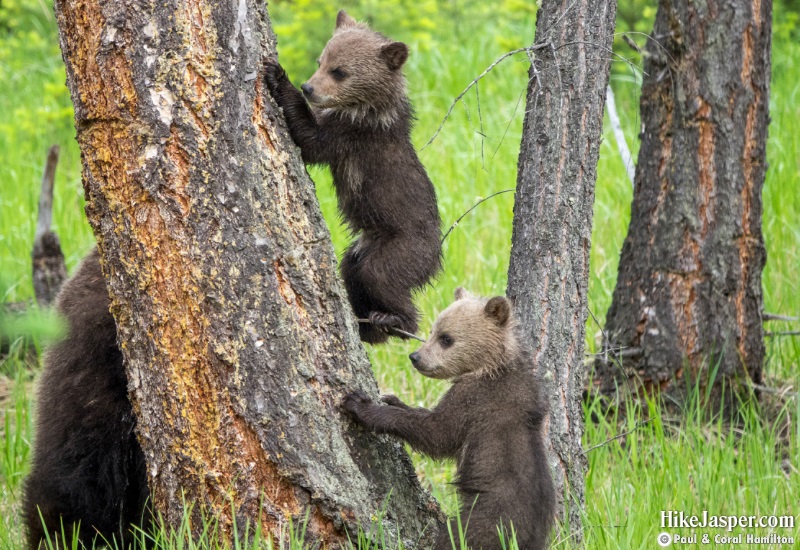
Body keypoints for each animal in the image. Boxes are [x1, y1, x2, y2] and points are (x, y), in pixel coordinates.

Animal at [264, 9, 444, 344]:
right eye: (321, 61)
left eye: (340, 72)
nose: (309, 87)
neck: (365, 107)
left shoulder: (354, 135)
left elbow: (312, 141)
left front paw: (277, 75)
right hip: (360, 248)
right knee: (352, 272)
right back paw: (366, 325)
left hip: (404, 246)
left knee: (382, 276)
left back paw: (393, 320)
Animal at [344, 292, 556, 548]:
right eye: (433, 330)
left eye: (446, 338)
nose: (415, 357)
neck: (492, 366)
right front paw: (392, 399)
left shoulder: (475, 401)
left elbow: (437, 432)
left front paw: (360, 405)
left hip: (488, 519)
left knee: (455, 536)